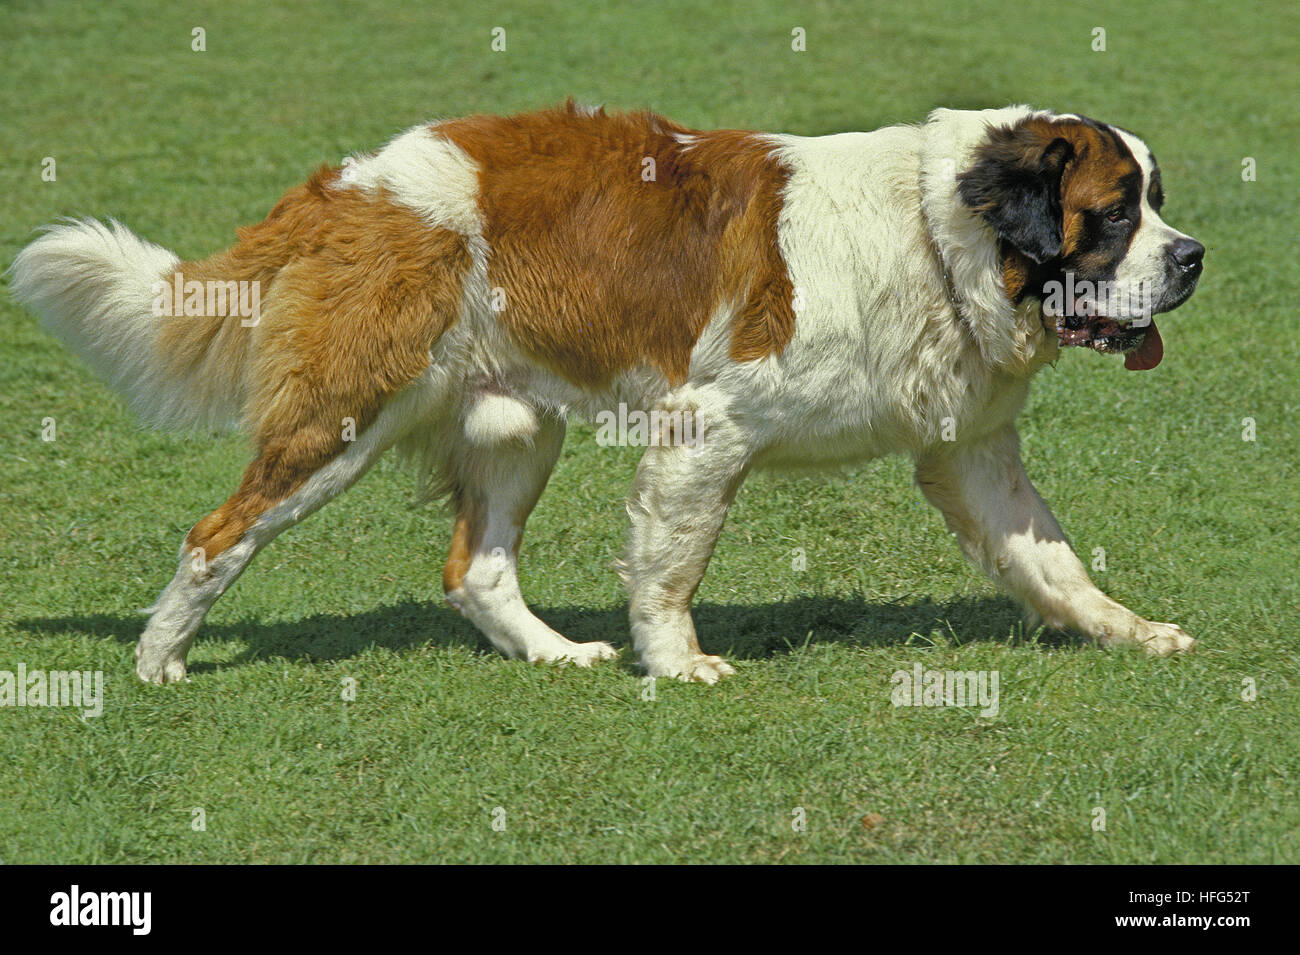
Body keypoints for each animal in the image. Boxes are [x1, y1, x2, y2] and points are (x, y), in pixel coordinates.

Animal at [12, 102, 1206, 686]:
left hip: (512, 424)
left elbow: (1051, 557)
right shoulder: (704, 431)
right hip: (341, 421)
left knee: (475, 568)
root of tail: (351, 184)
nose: (1193, 256)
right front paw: (676, 664)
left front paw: (1129, 631)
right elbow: (672, 568)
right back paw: (160, 660)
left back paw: (550, 655)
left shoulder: (972, 452)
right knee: (217, 534)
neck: (935, 229)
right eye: (1114, 213)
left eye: (1155, 202)